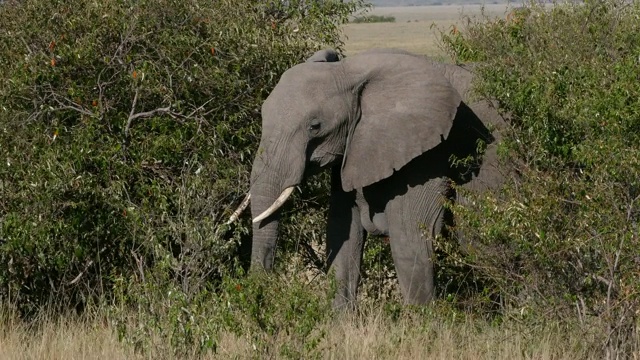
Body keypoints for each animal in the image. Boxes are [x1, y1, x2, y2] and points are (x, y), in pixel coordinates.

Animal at [242, 47, 508, 306]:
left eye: (315, 126)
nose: (259, 290)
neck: (351, 71)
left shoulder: (429, 152)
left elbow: (409, 241)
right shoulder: (352, 150)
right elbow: (343, 237)